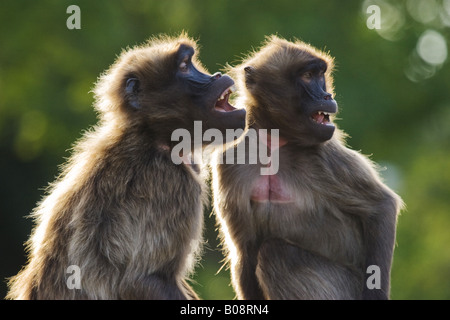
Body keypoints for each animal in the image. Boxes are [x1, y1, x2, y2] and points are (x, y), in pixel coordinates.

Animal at [6, 33, 246, 298]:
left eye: (192, 64)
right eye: (184, 67)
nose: (217, 76)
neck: (150, 136)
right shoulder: (169, 182)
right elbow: (140, 280)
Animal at [212, 36, 404, 302]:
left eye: (320, 75)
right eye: (307, 76)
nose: (327, 95)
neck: (274, 147)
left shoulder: (322, 157)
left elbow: (381, 207)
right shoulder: (230, 160)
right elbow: (245, 251)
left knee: (275, 252)